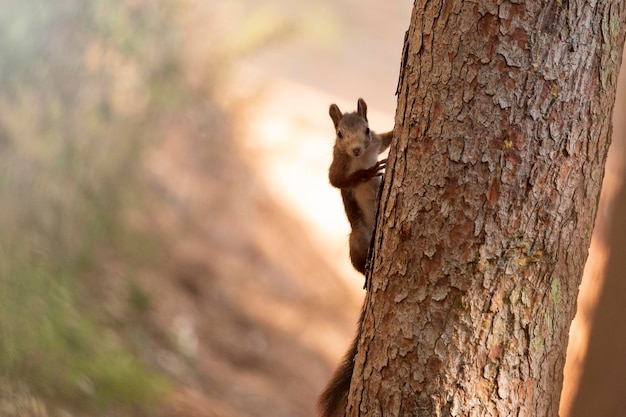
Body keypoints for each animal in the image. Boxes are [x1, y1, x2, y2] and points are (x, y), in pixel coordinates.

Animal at [326, 97, 390, 272]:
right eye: (339, 134)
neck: (361, 157)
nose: (356, 149)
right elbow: (335, 180)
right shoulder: (339, 161)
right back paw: (366, 267)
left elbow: (386, 140)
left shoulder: (376, 143)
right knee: (360, 264)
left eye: (367, 130)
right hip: (358, 238)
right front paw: (366, 173)